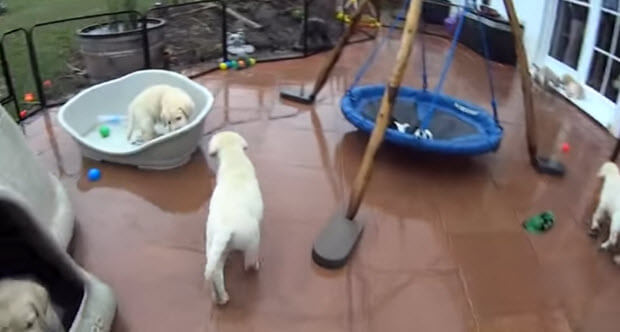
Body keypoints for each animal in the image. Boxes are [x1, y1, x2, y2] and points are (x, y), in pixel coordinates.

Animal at [203, 130, 262, 306]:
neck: (233, 155)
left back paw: (220, 298)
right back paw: (254, 267)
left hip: (213, 247)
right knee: (249, 261)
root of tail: (224, 228)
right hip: (252, 241)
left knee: (216, 273)